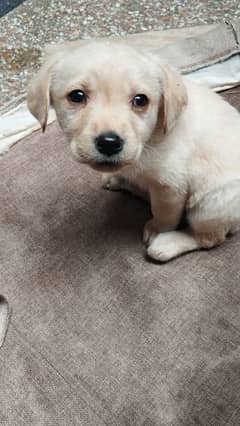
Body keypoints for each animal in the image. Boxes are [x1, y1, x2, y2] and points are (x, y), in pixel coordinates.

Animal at [27, 40, 240, 262]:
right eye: (77, 96)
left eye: (141, 100)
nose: (109, 143)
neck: (149, 141)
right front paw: (120, 177)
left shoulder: (170, 186)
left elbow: (164, 213)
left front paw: (157, 229)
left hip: (211, 205)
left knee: (209, 238)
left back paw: (167, 244)